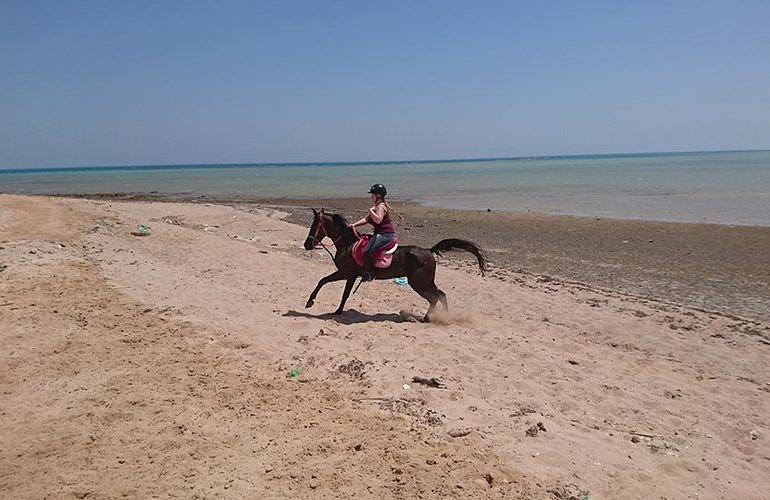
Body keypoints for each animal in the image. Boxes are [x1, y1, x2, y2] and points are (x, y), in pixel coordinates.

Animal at [302, 208, 486, 322]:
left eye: (315, 226)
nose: (307, 245)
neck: (348, 244)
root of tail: (428, 251)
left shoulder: (346, 273)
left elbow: (329, 285)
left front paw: (314, 303)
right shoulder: (348, 274)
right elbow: (332, 287)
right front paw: (327, 307)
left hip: (419, 283)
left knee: (434, 297)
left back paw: (428, 318)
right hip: (426, 282)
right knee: (441, 294)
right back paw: (444, 317)